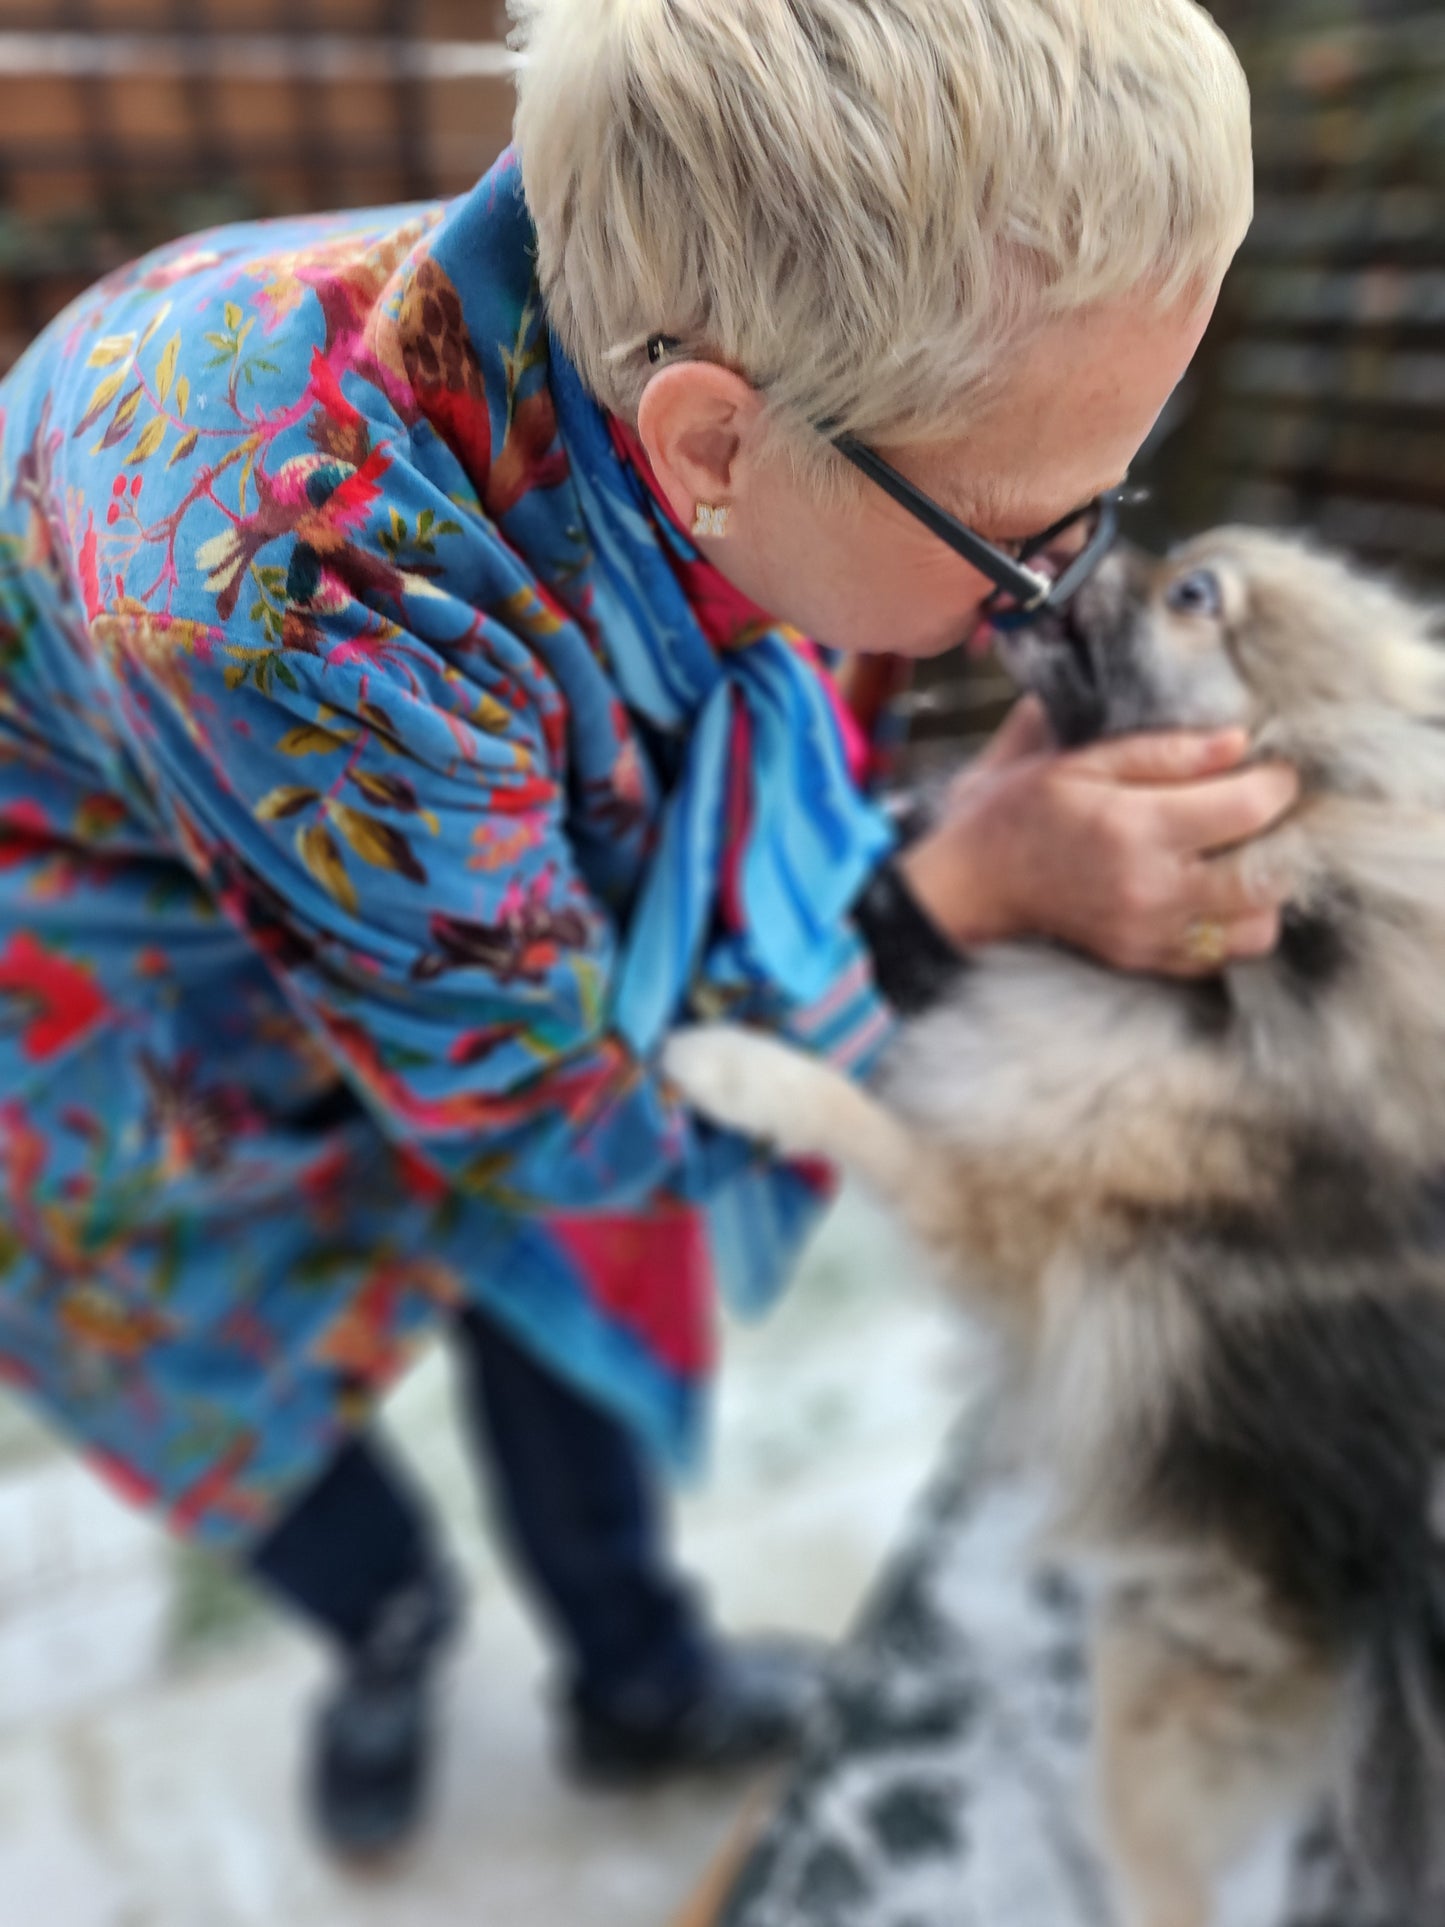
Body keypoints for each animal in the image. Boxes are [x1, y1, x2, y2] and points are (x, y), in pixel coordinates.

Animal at [670, 535, 1445, 1927]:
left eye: (1193, 597)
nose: (1102, 549)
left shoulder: (985, 1216)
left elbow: (850, 1107)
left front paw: (726, 1061)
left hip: (1158, 1718)